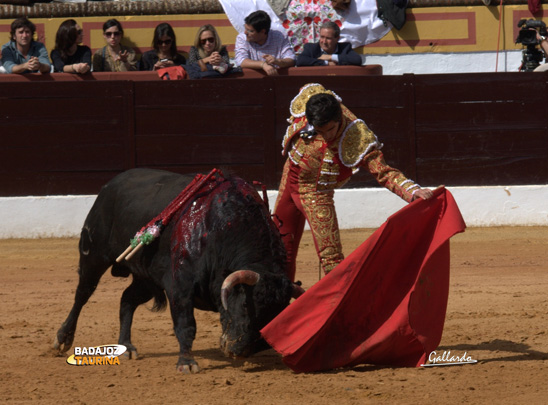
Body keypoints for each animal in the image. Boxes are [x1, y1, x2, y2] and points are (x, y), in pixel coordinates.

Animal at [53, 168, 302, 372]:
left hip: (146, 277)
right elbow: (186, 324)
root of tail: (109, 186)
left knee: (127, 299)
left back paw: (126, 346)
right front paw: (187, 362)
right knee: (82, 294)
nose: (238, 351)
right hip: (94, 255)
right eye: (244, 305)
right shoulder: (180, 285)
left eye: (275, 314)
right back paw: (62, 339)